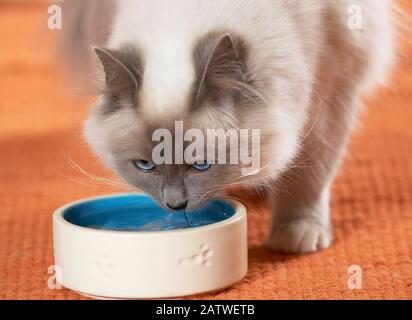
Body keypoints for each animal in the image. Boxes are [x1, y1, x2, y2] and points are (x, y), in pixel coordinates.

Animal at [60, 0, 392, 252]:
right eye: (145, 165)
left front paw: (295, 234)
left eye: (201, 165)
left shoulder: (331, 88)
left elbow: (309, 173)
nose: (176, 205)